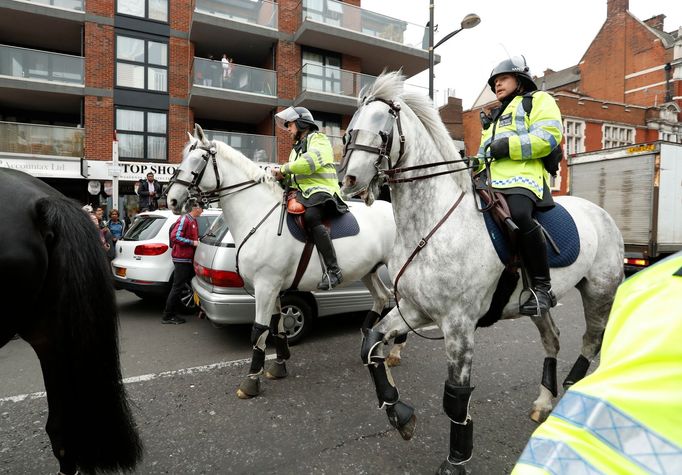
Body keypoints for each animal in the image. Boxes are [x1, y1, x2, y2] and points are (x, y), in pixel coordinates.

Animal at [164, 125, 398, 398]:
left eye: (199, 159)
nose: (172, 200)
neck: (258, 215)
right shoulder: (272, 287)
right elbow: (277, 326)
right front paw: (279, 364)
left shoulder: (266, 286)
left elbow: (259, 329)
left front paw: (251, 381)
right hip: (368, 271)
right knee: (382, 297)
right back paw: (369, 340)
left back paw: (394, 351)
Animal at [340, 71, 620, 475]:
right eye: (349, 130)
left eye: (383, 128)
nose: (347, 180)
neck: (433, 224)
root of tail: (600, 212)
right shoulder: (413, 310)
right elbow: (371, 345)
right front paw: (400, 415)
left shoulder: (458, 325)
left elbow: (455, 397)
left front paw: (456, 459)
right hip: (540, 306)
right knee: (553, 341)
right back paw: (544, 402)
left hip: (599, 291)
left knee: (591, 342)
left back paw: (572, 397)